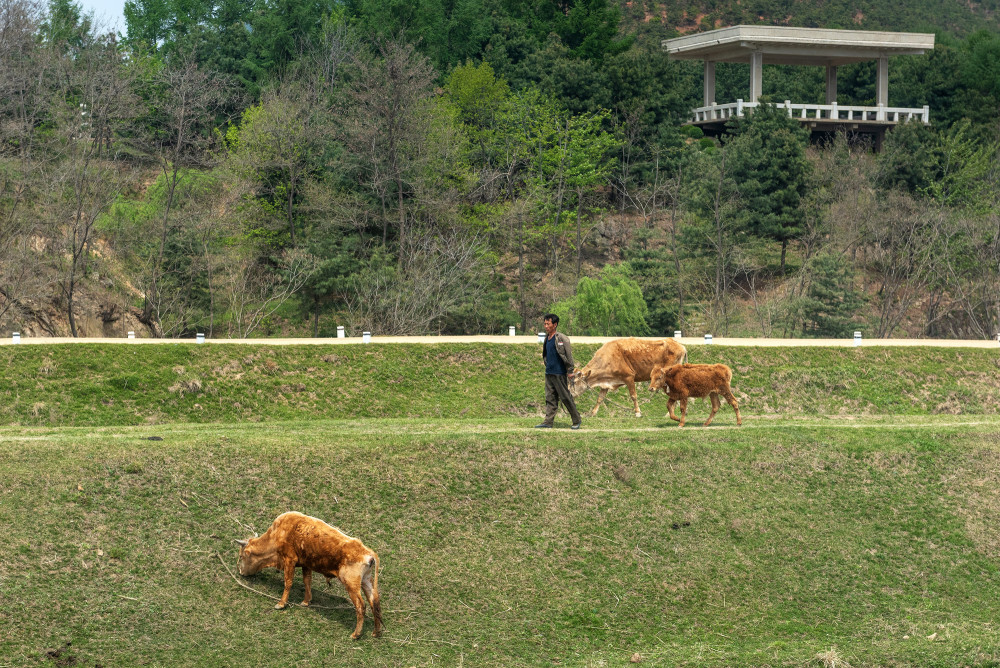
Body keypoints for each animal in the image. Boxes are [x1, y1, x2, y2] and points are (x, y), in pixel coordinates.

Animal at [236, 516, 384, 640]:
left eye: (241, 556)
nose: (241, 572)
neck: (279, 532)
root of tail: (369, 553)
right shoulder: (306, 564)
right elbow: (307, 581)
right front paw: (306, 601)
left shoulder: (290, 560)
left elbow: (288, 582)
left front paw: (281, 604)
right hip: (366, 581)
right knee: (374, 602)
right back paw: (376, 632)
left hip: (351, 585)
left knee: (361, 606)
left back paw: (356, 634)